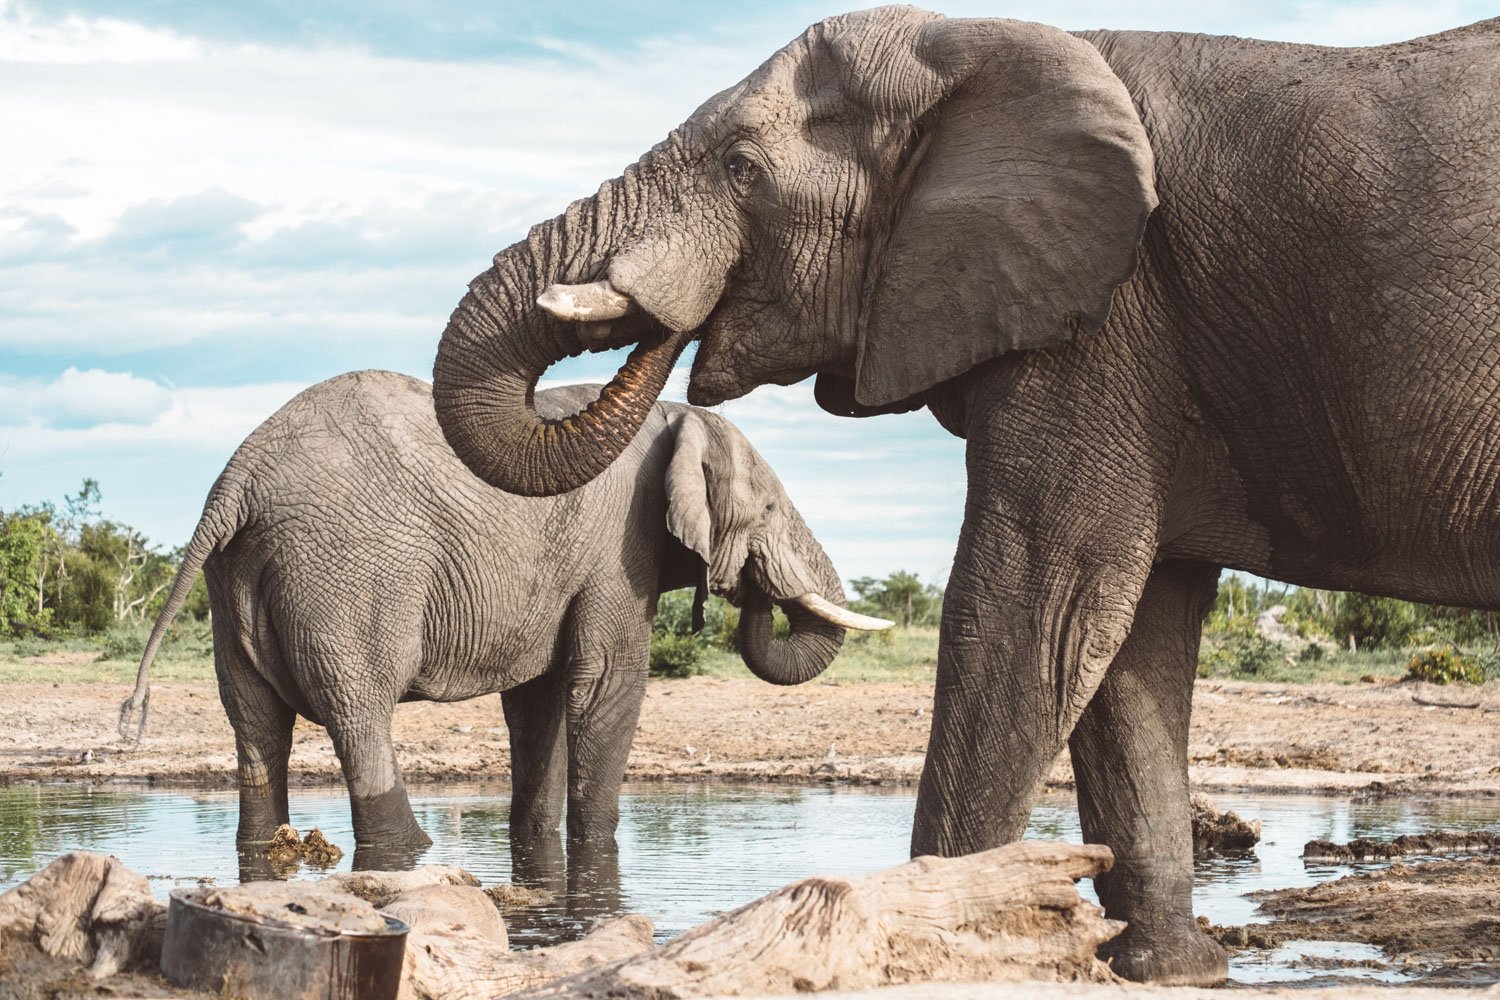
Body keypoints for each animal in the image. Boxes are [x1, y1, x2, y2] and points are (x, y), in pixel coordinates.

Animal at [429, 7, 1500, 989]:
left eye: (740, 168)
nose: (663, 333)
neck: (983, 42)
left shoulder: (1101, 322)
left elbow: (1034, 605)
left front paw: (943, 937)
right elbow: (1129, 636)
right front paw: (1170, 972)